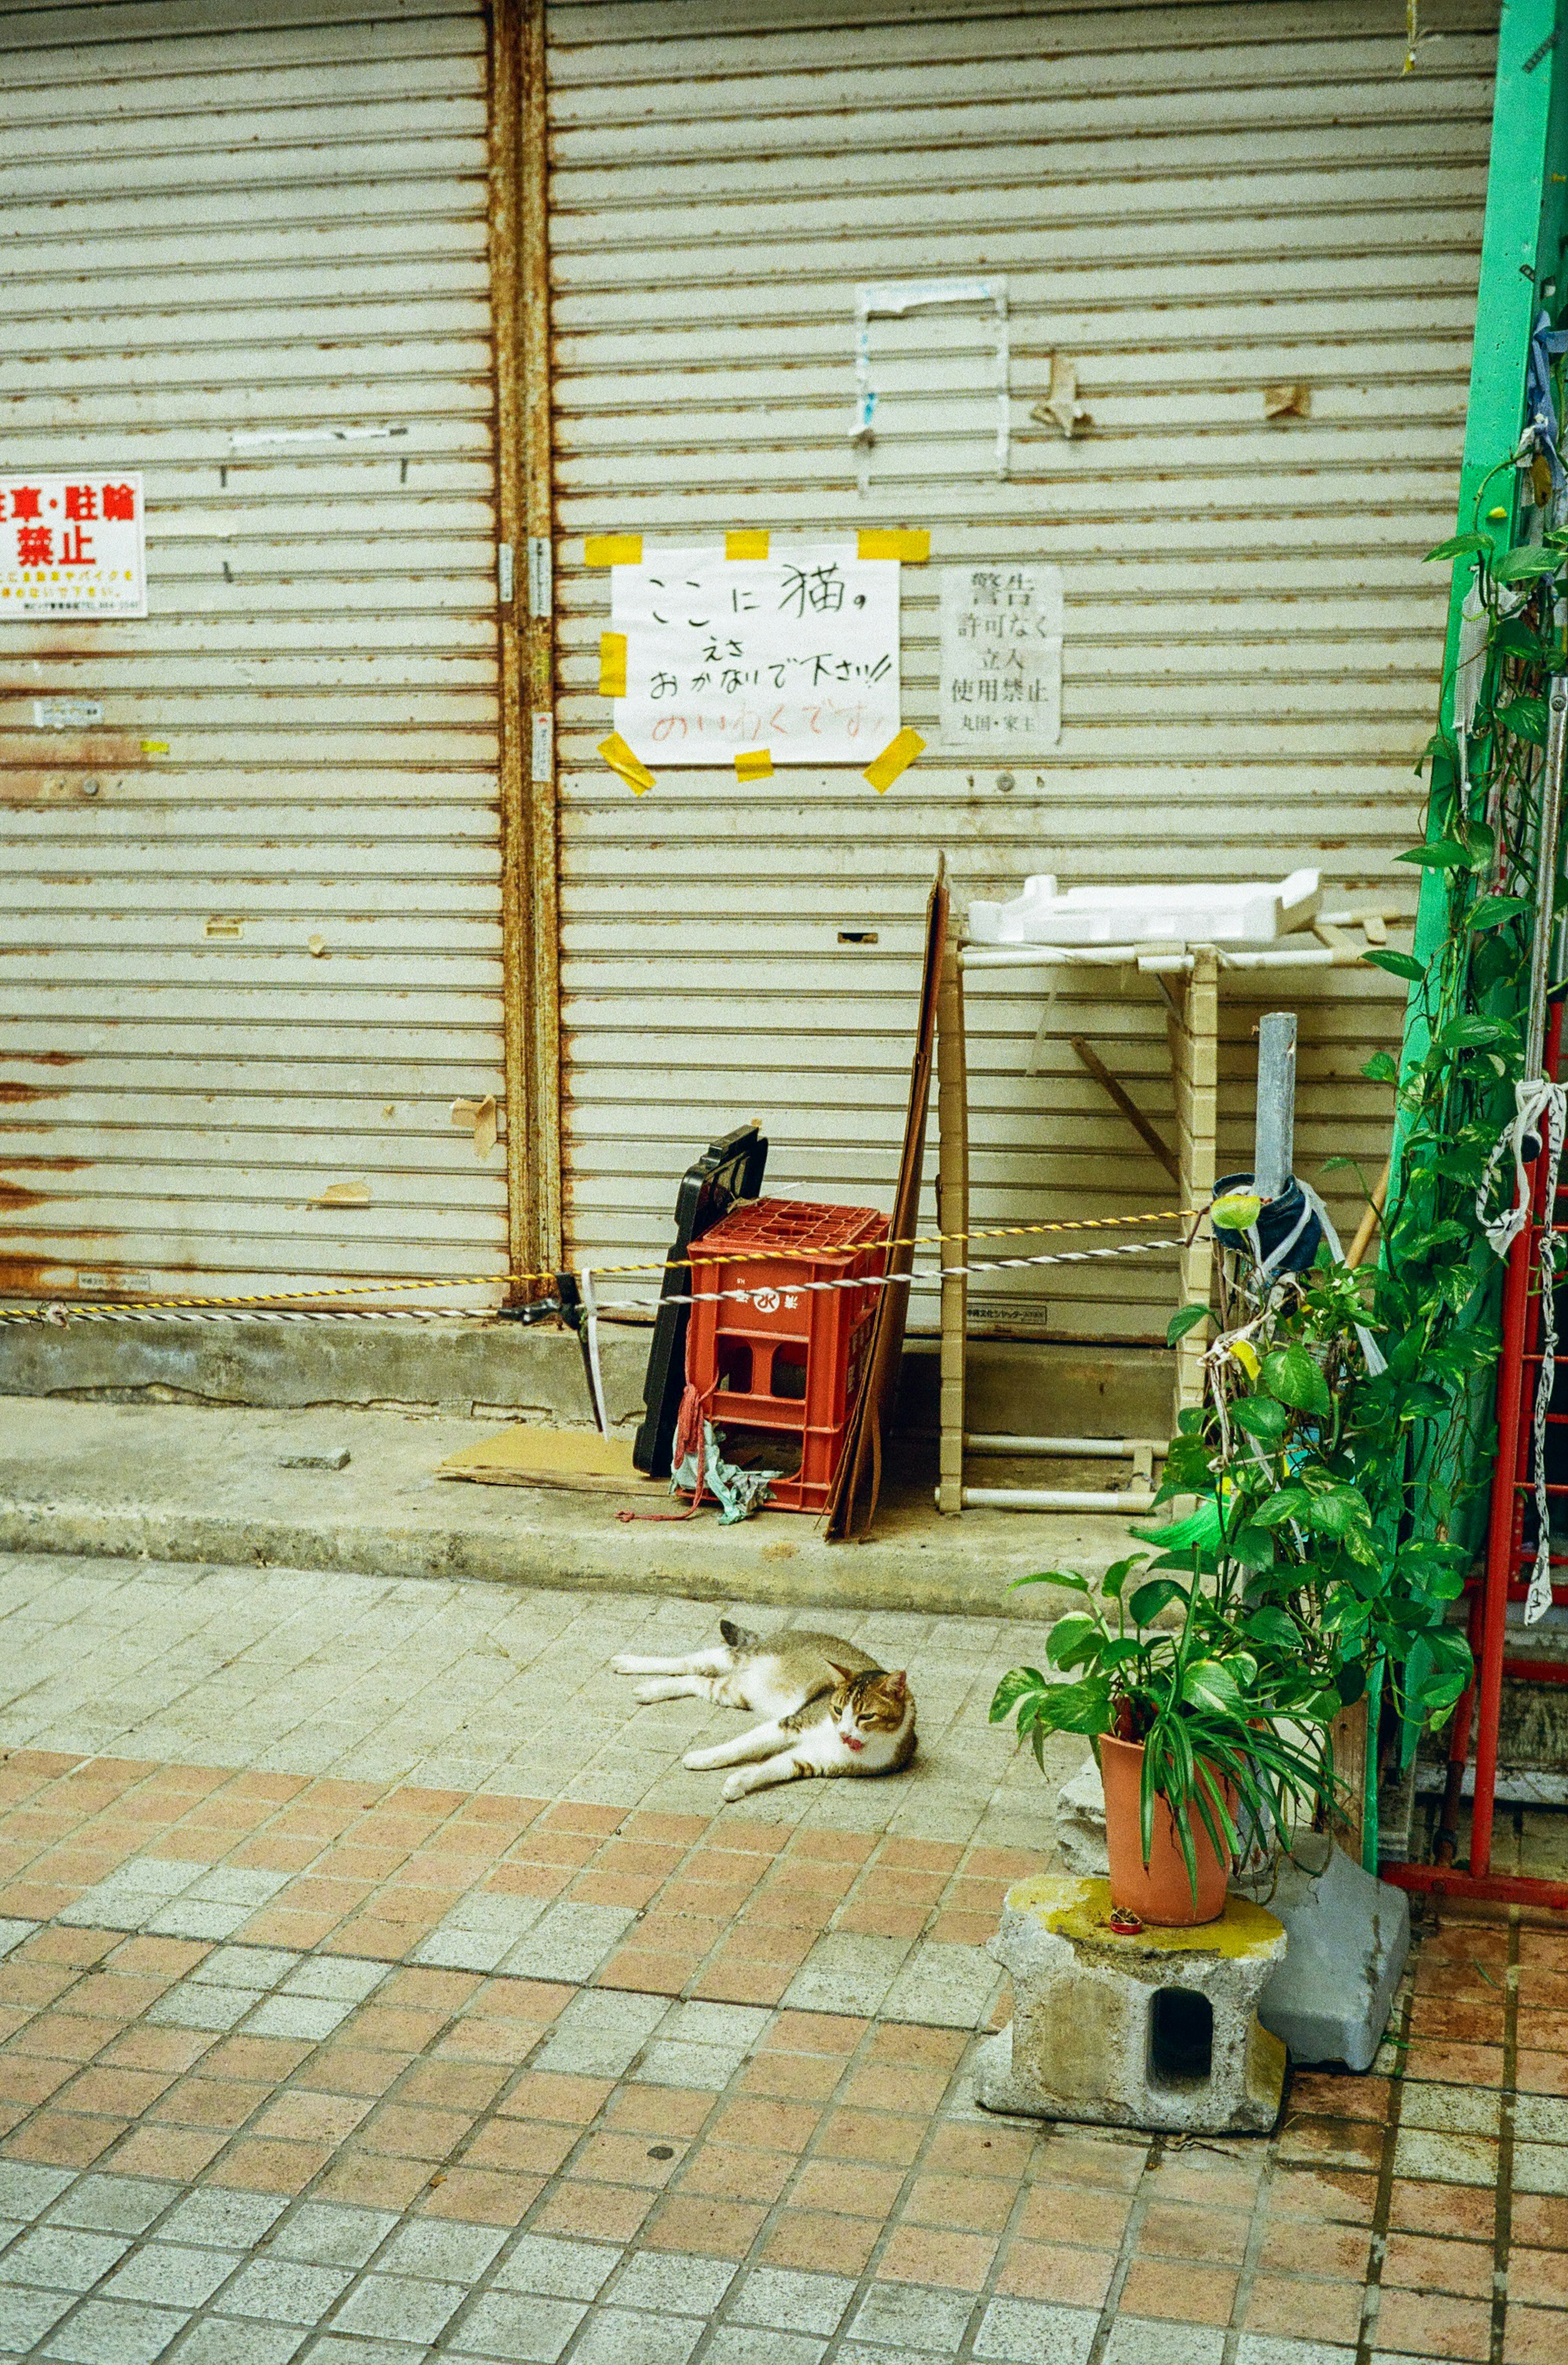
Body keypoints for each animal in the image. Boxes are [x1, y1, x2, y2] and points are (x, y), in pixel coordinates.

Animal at [605, 1618, 913, 1797]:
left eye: (866, 1716)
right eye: (837, 1710)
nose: (844, 1732)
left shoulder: (815, 1760)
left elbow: (769, 1768)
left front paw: (738, 1784)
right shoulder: (790, 1724)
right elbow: (740, 1745)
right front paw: (703, 1758)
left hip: (734, 1692)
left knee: (696, 1680)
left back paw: (652, 1690)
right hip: (739, 1658)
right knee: (689, 1662)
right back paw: (630, 1663)